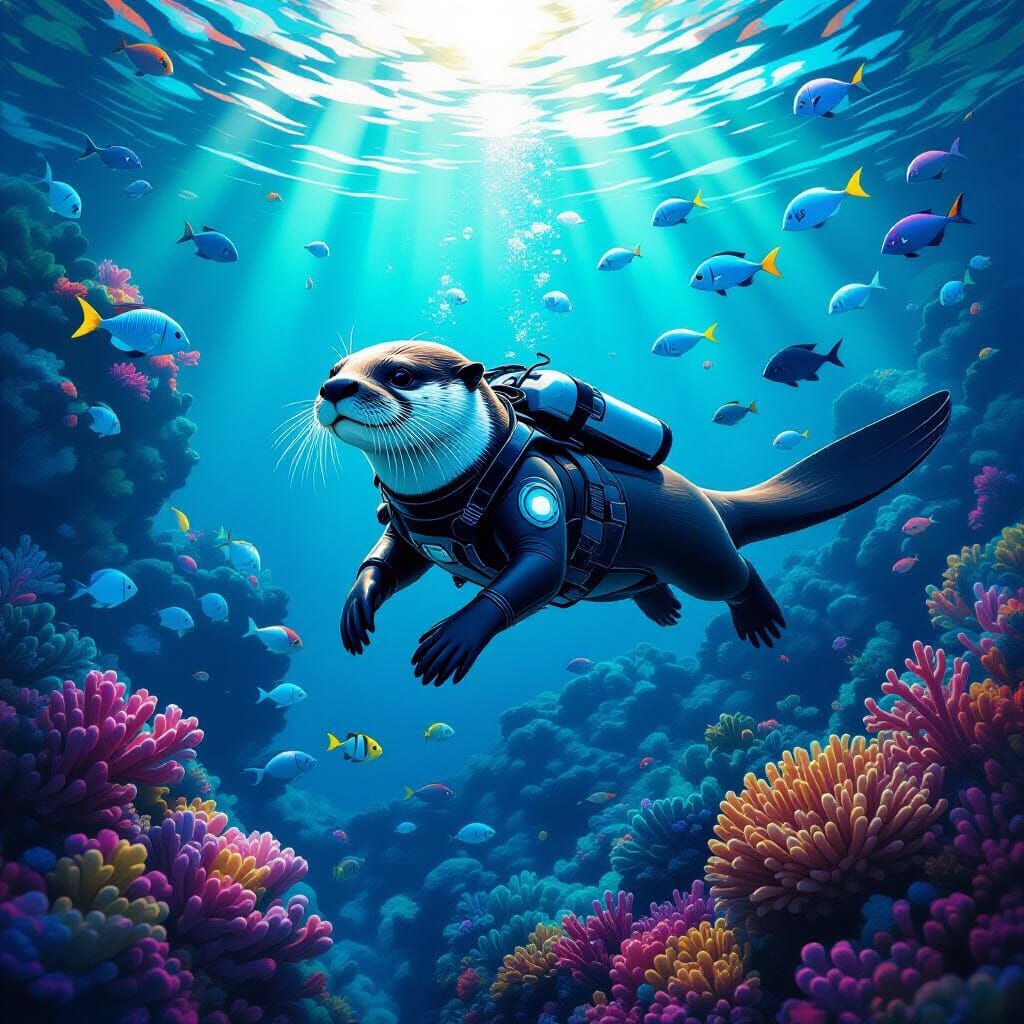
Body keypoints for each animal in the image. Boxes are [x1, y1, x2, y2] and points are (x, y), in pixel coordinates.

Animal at [313, 340, 950, 685]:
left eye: (399, 374)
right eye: (334, 368)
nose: (335, 389)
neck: (446, 493)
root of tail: (707, 496)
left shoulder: (535, 487)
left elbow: (539, 567)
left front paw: (454, 638)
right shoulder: (409, 525)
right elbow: (391, 557)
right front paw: (357, 607)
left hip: (700, 553)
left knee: (736, 573)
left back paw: (757, 614)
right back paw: (660, 606)